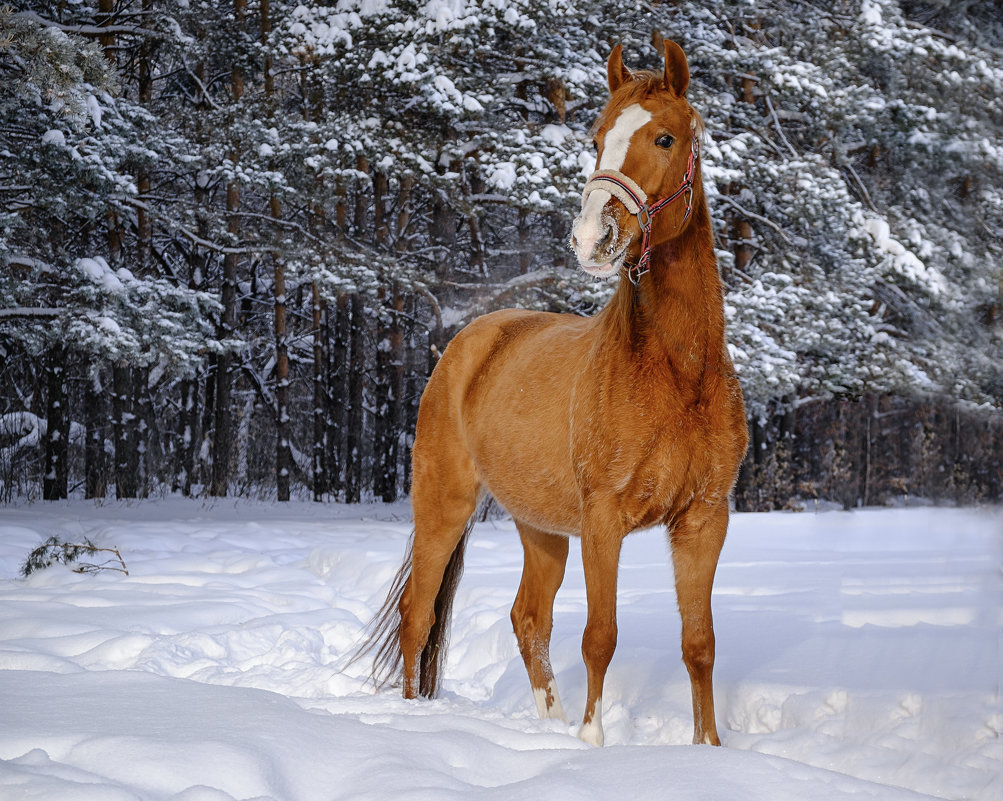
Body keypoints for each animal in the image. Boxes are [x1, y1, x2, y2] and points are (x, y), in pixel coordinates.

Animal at [361, 40, 746, 749]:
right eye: (596, 139)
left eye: (665, 137)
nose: (593, 238)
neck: (678, 375)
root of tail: (466, 343)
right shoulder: (604, 519)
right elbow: (601, 637)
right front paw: (593, 743)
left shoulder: (704, 519)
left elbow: (699, 644)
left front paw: (707, 750)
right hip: (443, 505)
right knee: (417, 613)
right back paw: (413, 720)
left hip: (539, 526)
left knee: (527, 619)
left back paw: (549, 723)